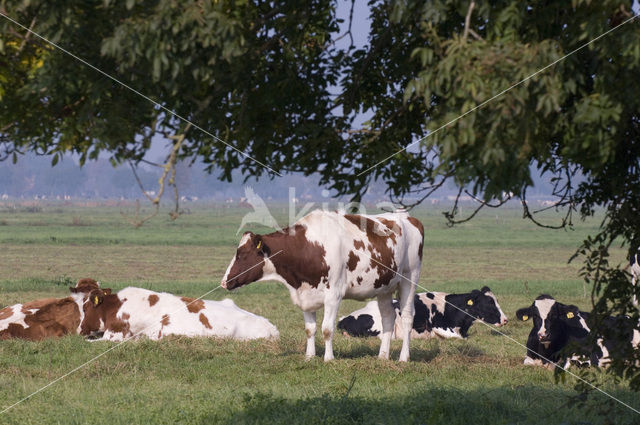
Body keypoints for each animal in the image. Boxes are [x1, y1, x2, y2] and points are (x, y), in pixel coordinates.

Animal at [220, 209, 424, 362]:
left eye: (241, 255)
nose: (224, 282)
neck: (308, 248)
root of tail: (408, 217)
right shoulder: (305, 294)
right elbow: (310, 329)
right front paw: (309, 357)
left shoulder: (334, 295)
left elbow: (327, 329)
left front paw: (328, 358)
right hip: (384, 287)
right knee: (388, 317)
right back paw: (382, 356)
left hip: (409, 278)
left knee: (407, 317)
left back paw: (403, 358)